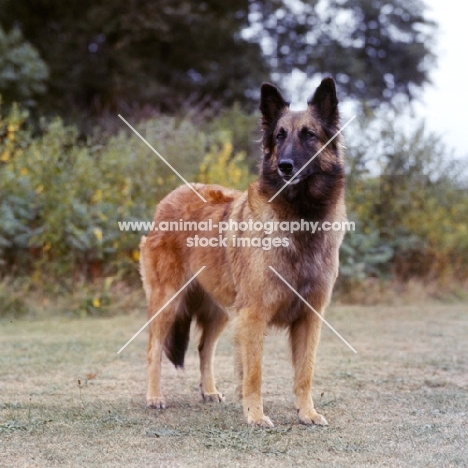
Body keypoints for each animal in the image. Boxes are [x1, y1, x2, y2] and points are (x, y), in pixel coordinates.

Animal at [140, 77, 348, 428]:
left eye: (309, 135)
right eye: (279, 136)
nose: (285, 166)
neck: (299, 218)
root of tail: (169, 198)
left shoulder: (309, 317)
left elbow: (304, 373)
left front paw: (306, 413)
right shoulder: (254, 315)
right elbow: (254, 373)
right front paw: (255, 415)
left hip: (220, 310)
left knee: (204, 348)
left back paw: (209, 391)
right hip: (169, 301)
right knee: (154, 348)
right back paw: (154, 397)